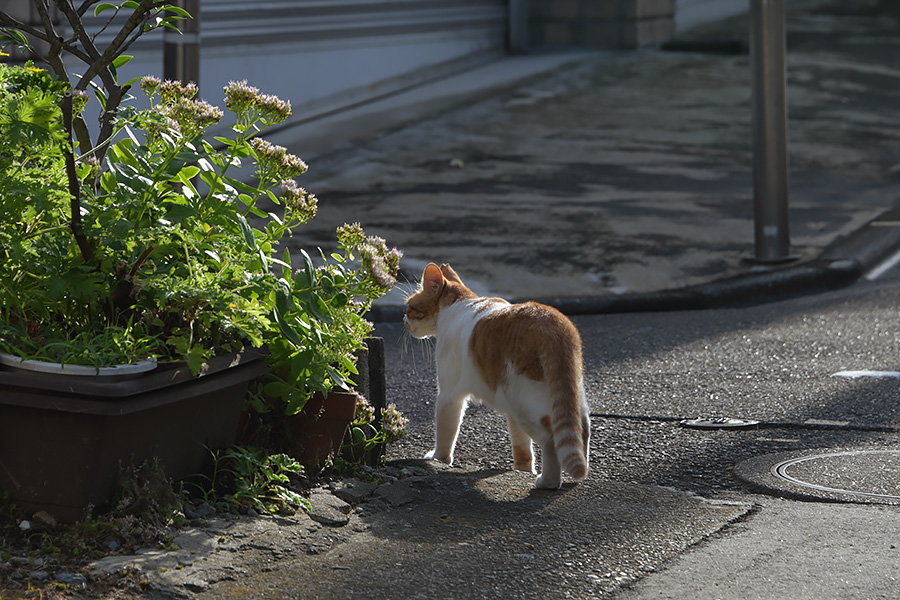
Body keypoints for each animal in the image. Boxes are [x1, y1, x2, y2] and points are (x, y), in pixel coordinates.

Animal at [402, 262, 592, 488]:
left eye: (409, 306)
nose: (403, 319)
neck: (459, 303)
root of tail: (552, 322)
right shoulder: (510, 411)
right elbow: (522, 447)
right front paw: (522, 471)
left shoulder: (448, 395)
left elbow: (446, 433)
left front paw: (438, 460)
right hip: (565, 393)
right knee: (581, 427)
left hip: (526, 405)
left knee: (551, 438)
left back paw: (547, 482)